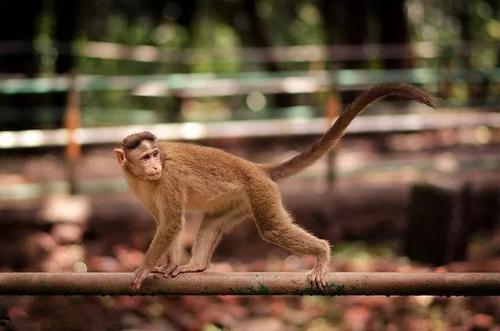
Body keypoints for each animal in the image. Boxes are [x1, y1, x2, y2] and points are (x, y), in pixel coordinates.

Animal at [114, 82, 438, 290]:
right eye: (145, 157)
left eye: (155, 154)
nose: (155, 166)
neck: (144, 176)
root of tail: (258, 168)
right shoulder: (139, 185)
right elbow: (166, 223)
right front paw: (167, 265)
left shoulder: (168, 178)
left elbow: (171, 223)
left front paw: (146, 266)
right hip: (241, 200)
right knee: (213, 221)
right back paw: (198, 265)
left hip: (258, 189)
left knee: (271, 228)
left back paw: (322, 253)